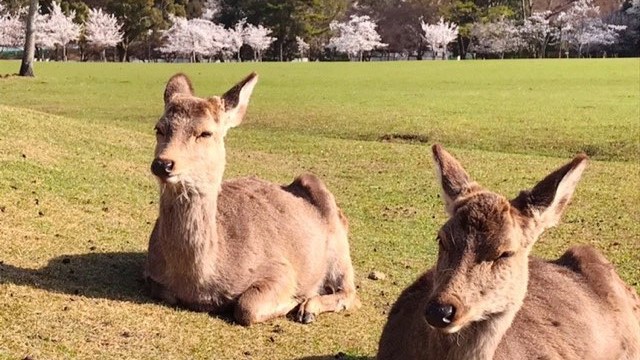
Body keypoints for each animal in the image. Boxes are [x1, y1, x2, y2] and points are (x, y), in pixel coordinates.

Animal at [143, 73, 360, 326]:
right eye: (159, 128)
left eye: (206, 133)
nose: (163, 164)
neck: (199, 281)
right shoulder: (153, 274)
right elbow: (163, 291)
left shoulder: (281, 268)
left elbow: (247, 306)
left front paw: (296, 299)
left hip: (339, 246)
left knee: (351, 292)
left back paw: (308, 309)